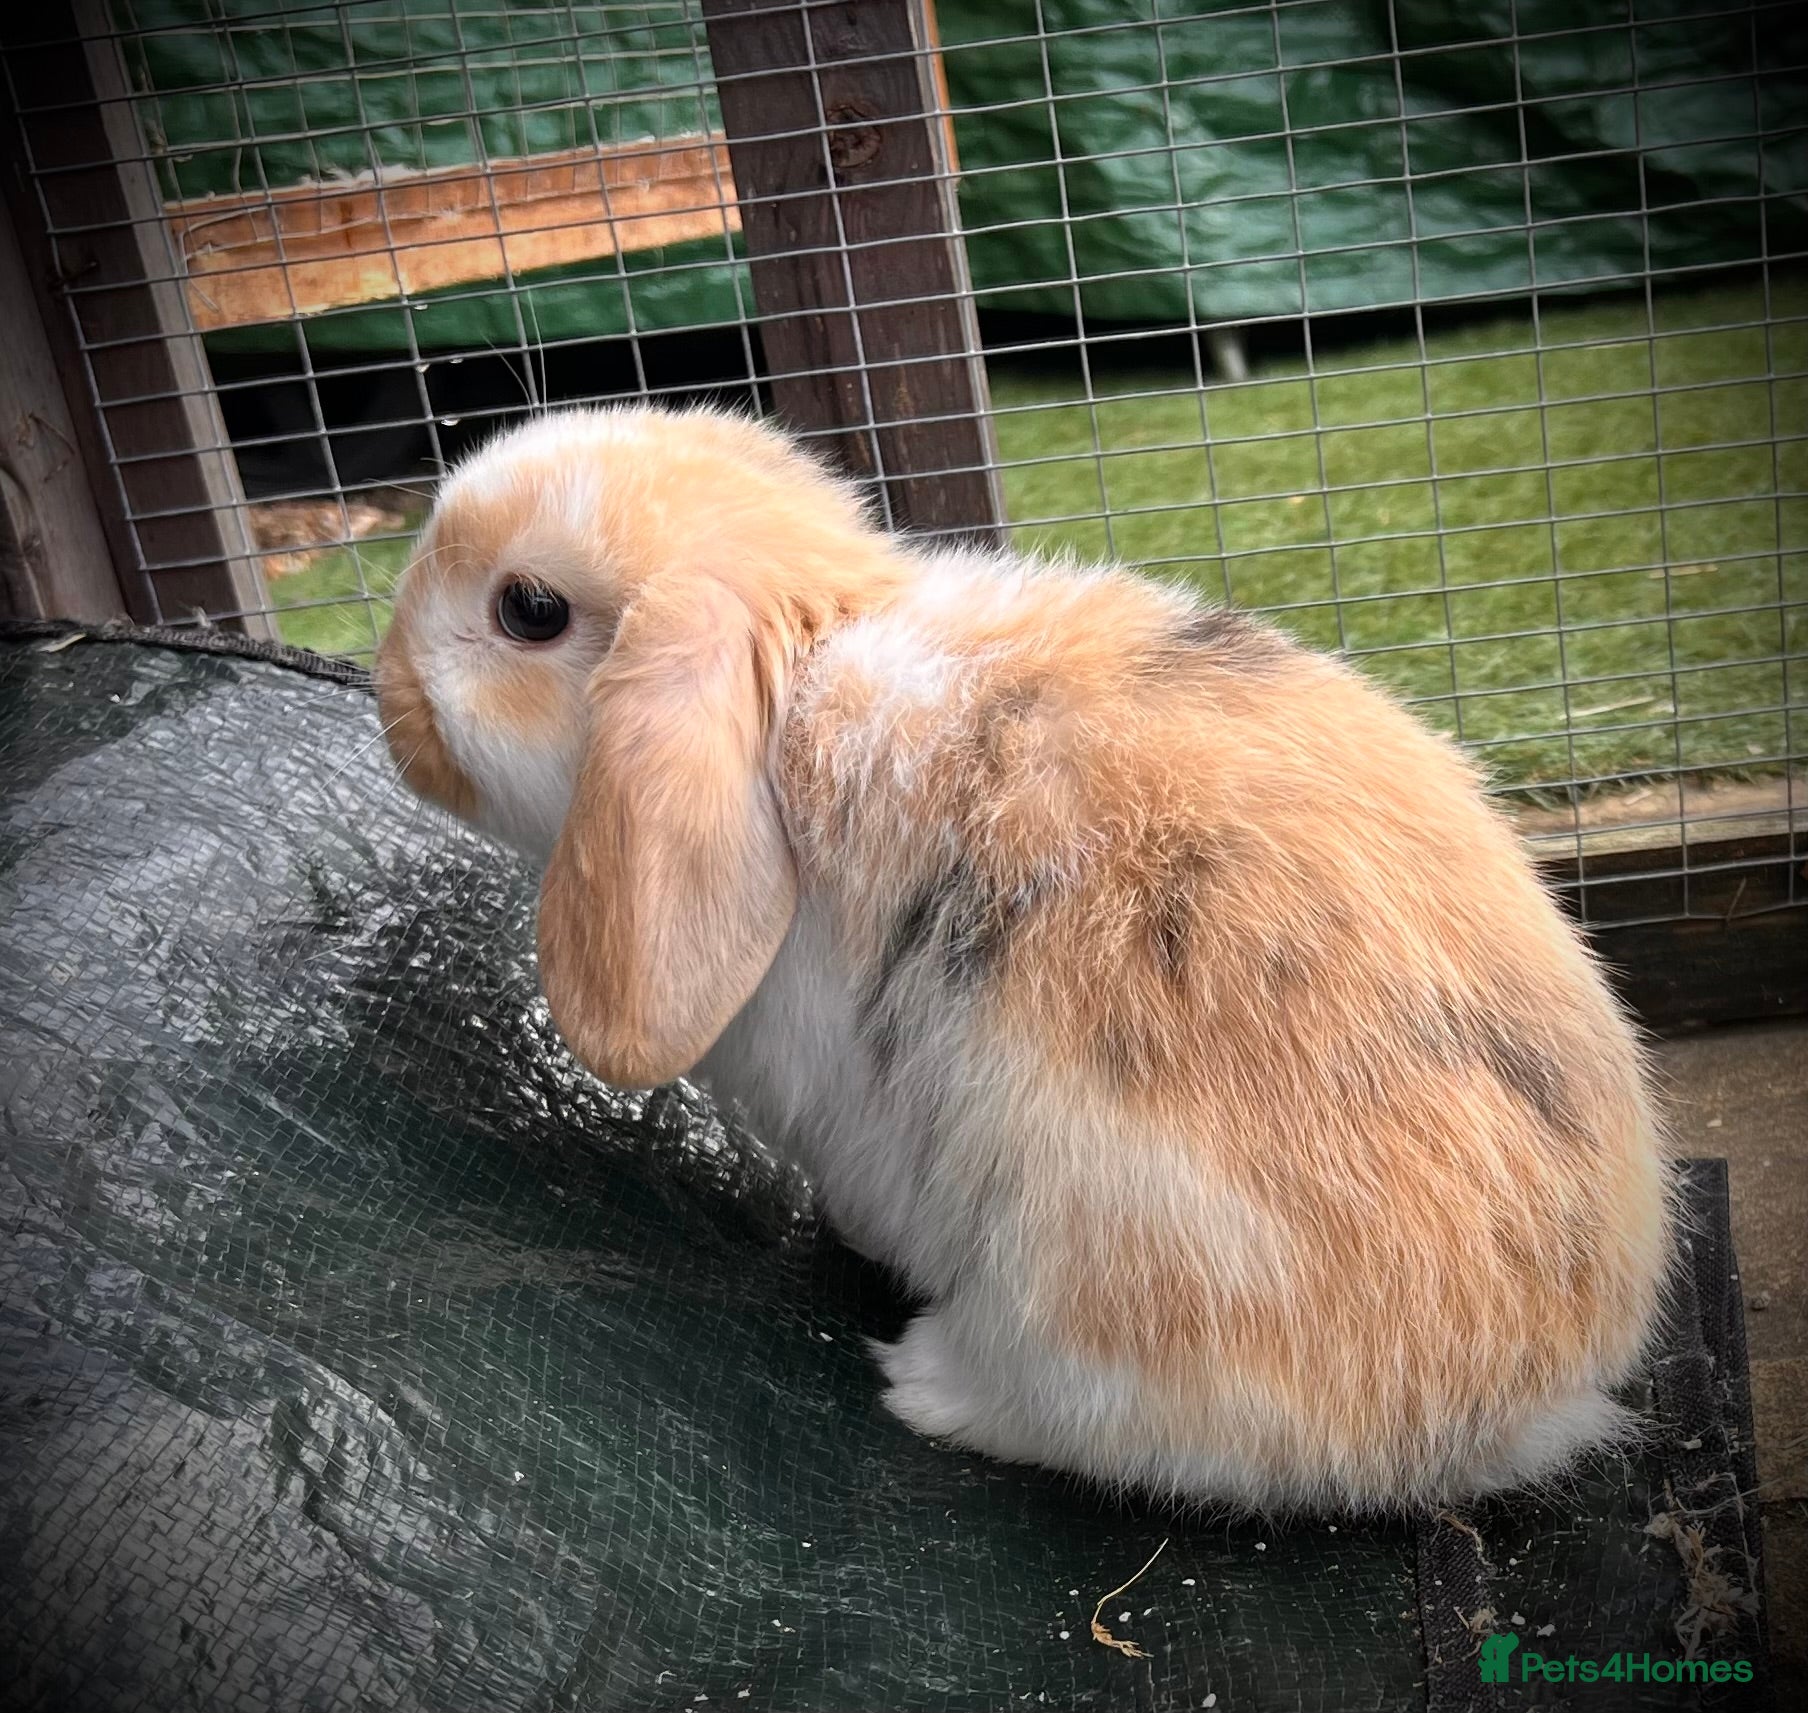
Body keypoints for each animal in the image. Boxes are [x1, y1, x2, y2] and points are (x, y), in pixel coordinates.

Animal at [374, 403, 1672, 1513]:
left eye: (527, 609)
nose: (385, 685)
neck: (806, 670)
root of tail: (1531, 1389)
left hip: (1088, 1270)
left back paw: (922, 1380)